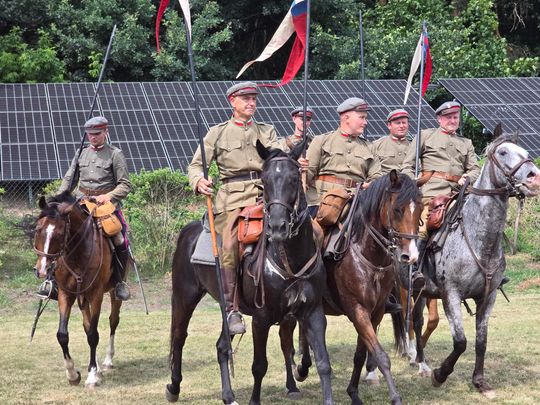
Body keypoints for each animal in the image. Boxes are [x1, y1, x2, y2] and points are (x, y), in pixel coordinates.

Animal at [33, 191, 121, 387]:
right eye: (37, 230)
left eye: (59, 234)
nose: (41, 270)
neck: (77, 253)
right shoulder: (66, 294)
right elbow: (63, 335)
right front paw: (73, 374)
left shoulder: (96, 294)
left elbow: (94, 335)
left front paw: (92, 375)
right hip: (83, 298)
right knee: (87, 325)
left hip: (113, 293)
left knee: (113, 321)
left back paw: (106, 361)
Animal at [166, 140, 333, 405]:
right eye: (264, 180)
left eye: (294, 178)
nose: (277, 227)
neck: (290, 258)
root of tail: (188, 231)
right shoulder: (261, 319)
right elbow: (259, 366)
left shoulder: (313, 312)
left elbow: (323, 363)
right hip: (184, 296)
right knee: (179, 336)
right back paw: (173, 387)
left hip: (226, 308)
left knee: (222, 347)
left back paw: (228, 395)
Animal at [287, 170, 423, 405]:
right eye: (398, 209)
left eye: (421, 209)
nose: (411, 256)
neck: (366, 253)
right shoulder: (357, 310)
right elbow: (381, 356)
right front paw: (395, 397)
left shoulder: (375, 312)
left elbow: (361, 355)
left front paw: (354, 393)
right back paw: (301, 368)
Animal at [409, 128, 540, 398]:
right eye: (503, 152)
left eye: (524, 151)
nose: (534, 178)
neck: (480, 240)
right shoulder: (451, 295)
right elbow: (461, 342)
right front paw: (440, 375)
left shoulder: (488, 297)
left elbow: (481, 341)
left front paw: (480, 382)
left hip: (422, 292)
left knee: (416, 320)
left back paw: (421, 361)